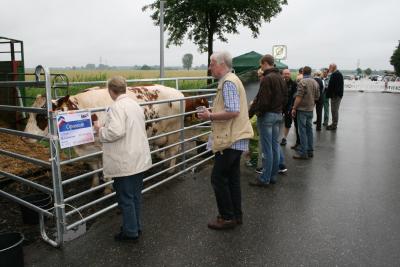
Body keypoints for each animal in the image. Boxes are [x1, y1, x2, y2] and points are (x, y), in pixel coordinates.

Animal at [25, 85, 186, 194]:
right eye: (30, 113)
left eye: (42, 116)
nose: (26, 136)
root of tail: (178, 92)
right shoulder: (90, 151)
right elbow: (94, 168)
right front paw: (95, 184)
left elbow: (105, 170)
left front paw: (107, 189)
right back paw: (165, 164)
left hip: (174, 131)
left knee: (173, 150)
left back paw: (170, 169)